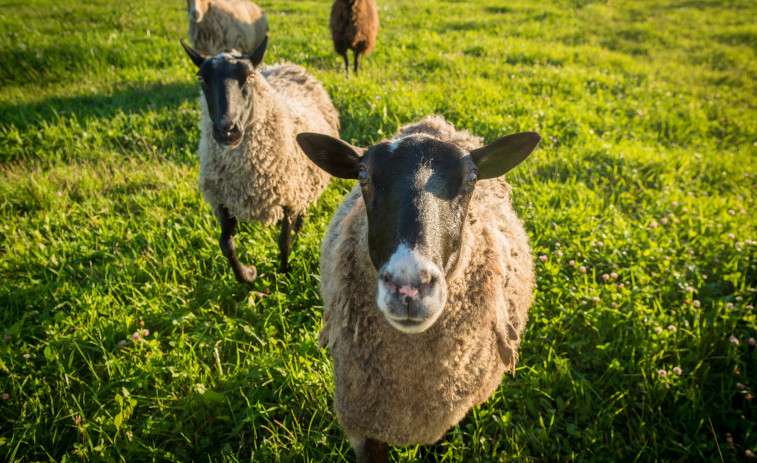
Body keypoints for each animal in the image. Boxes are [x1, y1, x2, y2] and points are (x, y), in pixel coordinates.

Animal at [182, 35, 338, 282]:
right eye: (202, 78)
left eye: (250, 76)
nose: (227, 130)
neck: (245, 177)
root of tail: (285, 65)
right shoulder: (221, 200)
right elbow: (226, 244)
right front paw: (247, 275)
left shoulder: (289, 196)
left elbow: (284, 241)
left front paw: (283, 273)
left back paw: (300, 226)